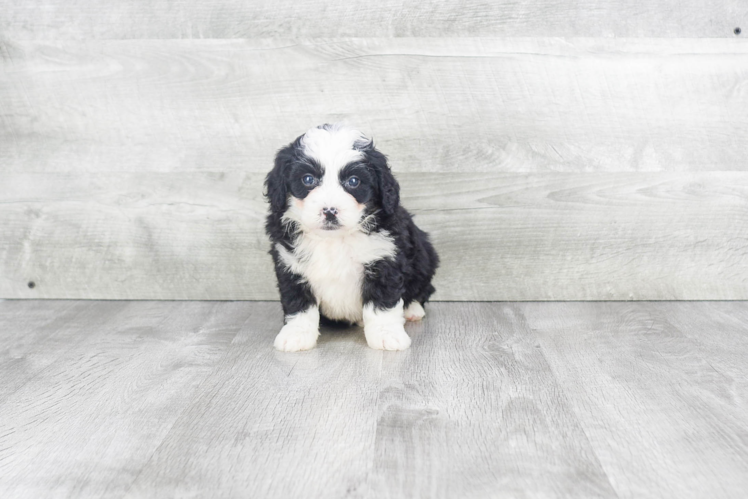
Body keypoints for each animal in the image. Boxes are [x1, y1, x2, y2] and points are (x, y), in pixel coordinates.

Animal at [264, 123, 438, 352]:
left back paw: (412, 310)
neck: (334, 240)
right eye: (308, 179)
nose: (330, 211)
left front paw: (387, 335)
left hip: (425, 256)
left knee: (423, 288)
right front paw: (296, 335)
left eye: (353, 181)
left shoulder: (385, 261)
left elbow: (382, 303)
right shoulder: (291, 265)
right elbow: (298, 303)